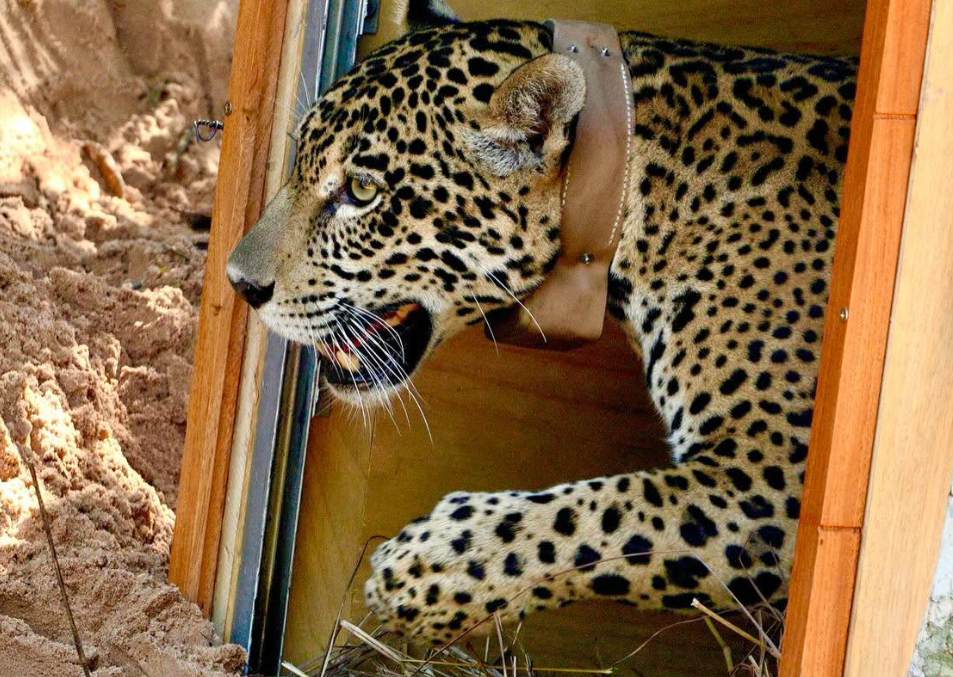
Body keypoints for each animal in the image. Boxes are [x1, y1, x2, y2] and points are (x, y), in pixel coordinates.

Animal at [226, 0, 856, 645]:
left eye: (360, 190)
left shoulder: (773, 477)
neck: (640, 192)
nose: (239, 283)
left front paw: (424, 569)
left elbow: (604, 513)